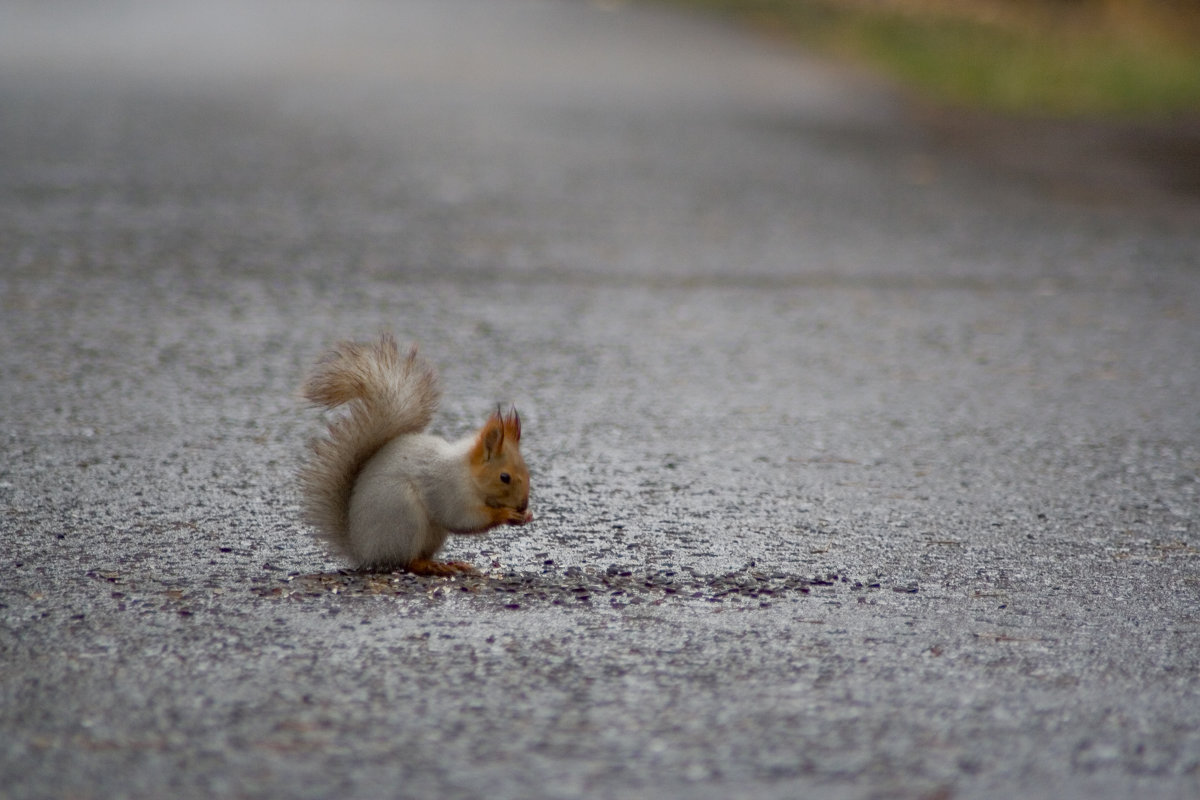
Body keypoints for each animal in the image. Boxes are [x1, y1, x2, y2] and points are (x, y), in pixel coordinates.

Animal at [298, 331, 530, 575]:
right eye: (504, 477)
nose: (523, 505)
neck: (467, 472)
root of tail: (362, 551)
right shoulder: (449, 490)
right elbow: (464, 519)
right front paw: (506, 514)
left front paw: (525, 516)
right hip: (404, 518)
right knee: (406, 561)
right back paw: (428, 566)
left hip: (431, 533)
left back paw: (449, 563)